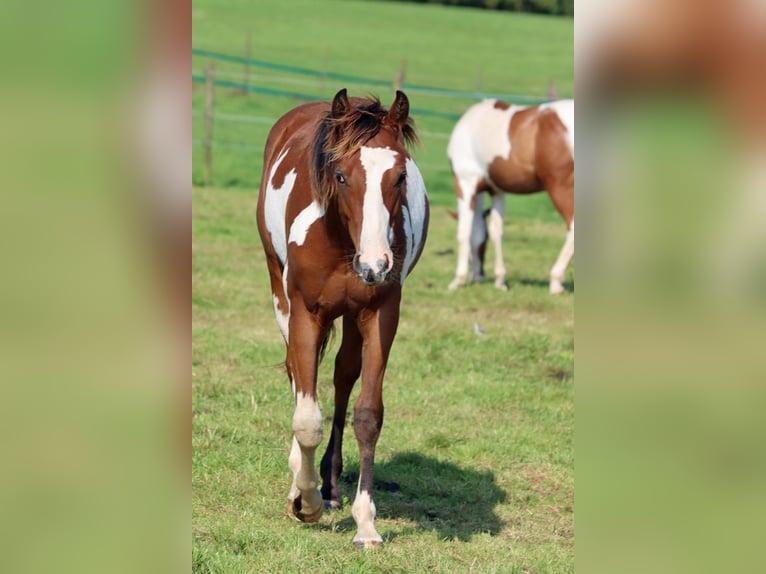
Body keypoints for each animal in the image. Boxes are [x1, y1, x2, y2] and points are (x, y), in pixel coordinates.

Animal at [255, 89, 428, 548]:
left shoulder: (381, 313)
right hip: (281, 295)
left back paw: (330, 486)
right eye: (341, 174)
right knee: (300, 373)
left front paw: (365, 523)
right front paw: (304, 501)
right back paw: (305, 479)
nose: (375, 264)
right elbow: (306, 418)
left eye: (399, 177)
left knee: (341, 376)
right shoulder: (305, 312)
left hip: (352, 317)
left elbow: (367, 415)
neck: (340, 240)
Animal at [448, 99, 572, 294]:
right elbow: (494, 231)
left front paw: (458, 280)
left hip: (560, 188)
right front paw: (500, 280)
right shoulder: (496, 191)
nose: (479, 275)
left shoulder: (465, 184)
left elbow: (465, 231)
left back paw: (556, 279)